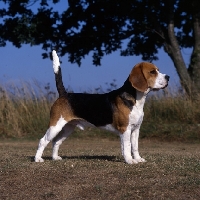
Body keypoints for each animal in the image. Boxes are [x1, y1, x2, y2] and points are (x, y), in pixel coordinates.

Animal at [34, 50, 169, 164]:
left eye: (158, 70)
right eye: (152, 72)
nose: (168, 77)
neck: (136, 100)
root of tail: (64, 94)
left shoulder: (136, 129)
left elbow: (134, 146)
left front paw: (138, 159)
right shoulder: (125, 129)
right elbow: (127, 146)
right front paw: (130, 160)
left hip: (68, 128)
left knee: (56, 141)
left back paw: (55, 157)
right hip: (55, 126)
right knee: (43, 141)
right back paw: (37, 159)